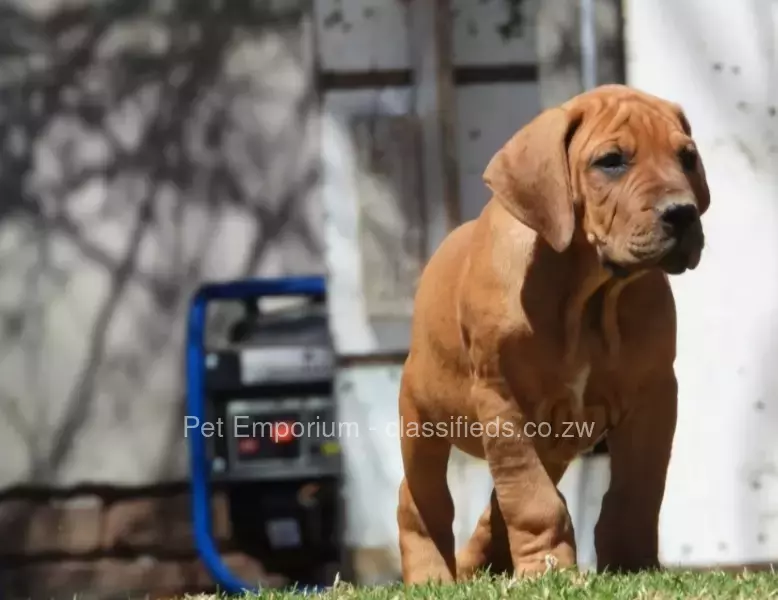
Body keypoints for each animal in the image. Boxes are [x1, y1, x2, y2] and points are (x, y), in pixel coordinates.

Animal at [398, 83, 708, 580]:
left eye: (687, 158)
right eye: (611, 161)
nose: (683, 214)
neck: (587, 296)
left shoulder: (654, 397)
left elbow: (637, 491)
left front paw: (632, 563)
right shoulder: (503, 403)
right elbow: (534, 501)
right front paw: (547, 570)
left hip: (552, 444)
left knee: (493, 508)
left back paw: (480, 565)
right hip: (421, 417)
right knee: (422, 500)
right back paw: (433, 574)